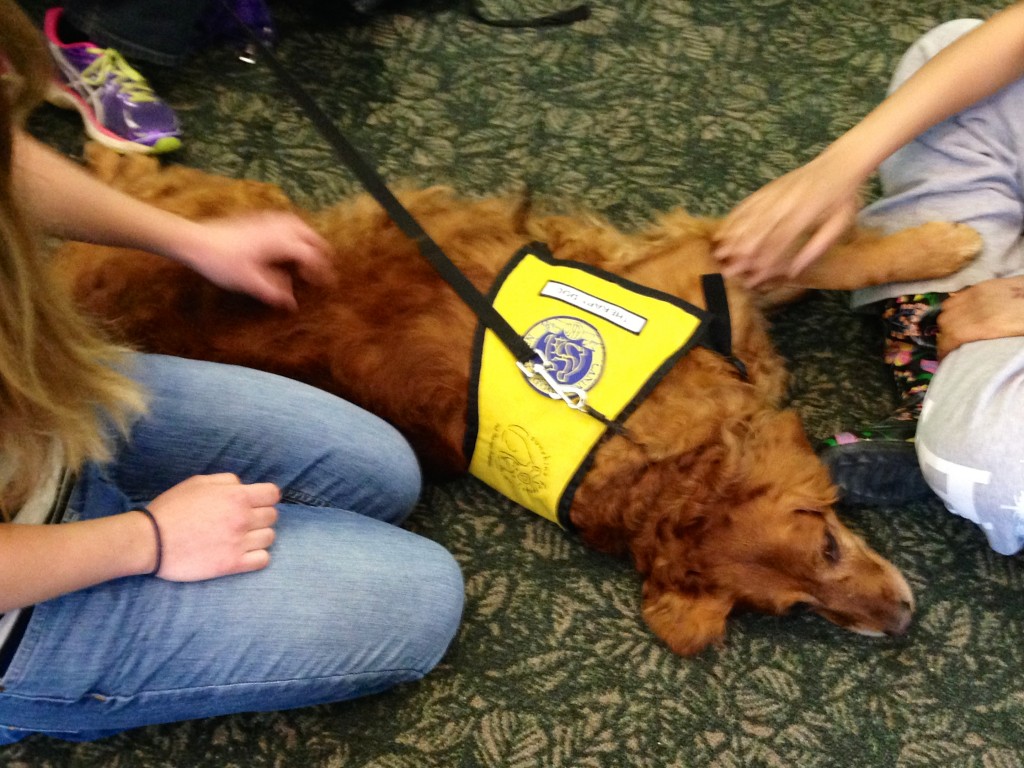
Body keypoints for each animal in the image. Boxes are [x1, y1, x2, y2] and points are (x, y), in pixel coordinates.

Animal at [51, 145, 978, 655]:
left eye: (827, 546)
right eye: (802, 597)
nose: (900, 623)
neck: (643, 447)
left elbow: (822, 258)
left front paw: (916, 238)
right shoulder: (707, 270)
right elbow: (831, 259)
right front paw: (941, 242)